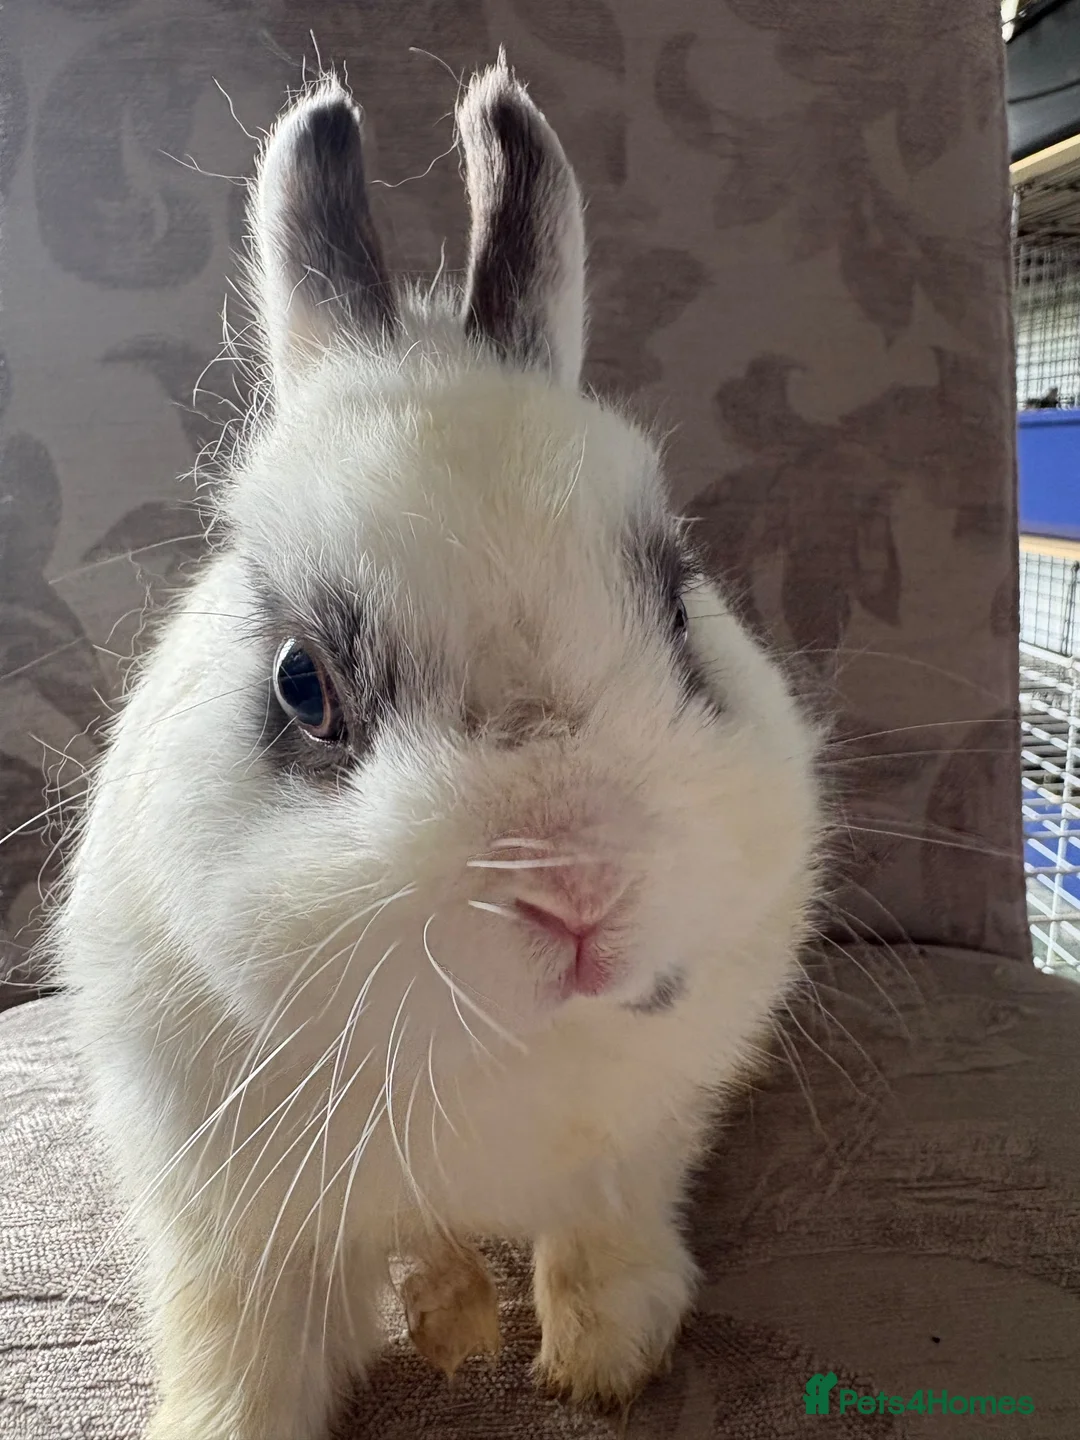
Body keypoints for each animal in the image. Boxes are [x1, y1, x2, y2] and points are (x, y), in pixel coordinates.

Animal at [54, 53, 824, 1440]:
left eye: (681, 612)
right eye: (302, 683)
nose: (578, 891)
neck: (492, 1053)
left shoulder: (641, 1139)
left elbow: (603, 1237)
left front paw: (607, 1362)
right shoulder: (228, 1227)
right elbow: (245, 1361)